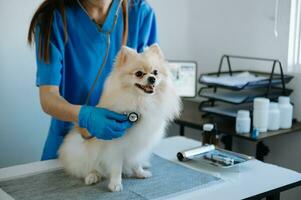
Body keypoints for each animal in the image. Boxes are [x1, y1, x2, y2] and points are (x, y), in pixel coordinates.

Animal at [58, 43, 180, 192]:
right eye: (139, 73)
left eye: (156, 72)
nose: (152, 78)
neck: (141, 102)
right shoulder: (115, 147)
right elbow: (116, 167)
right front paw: (115, 184)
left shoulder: (138, 145)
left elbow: (136, 161)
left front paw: (139, 173)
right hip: (80, 149)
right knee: (89, 167)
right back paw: (92, 176)